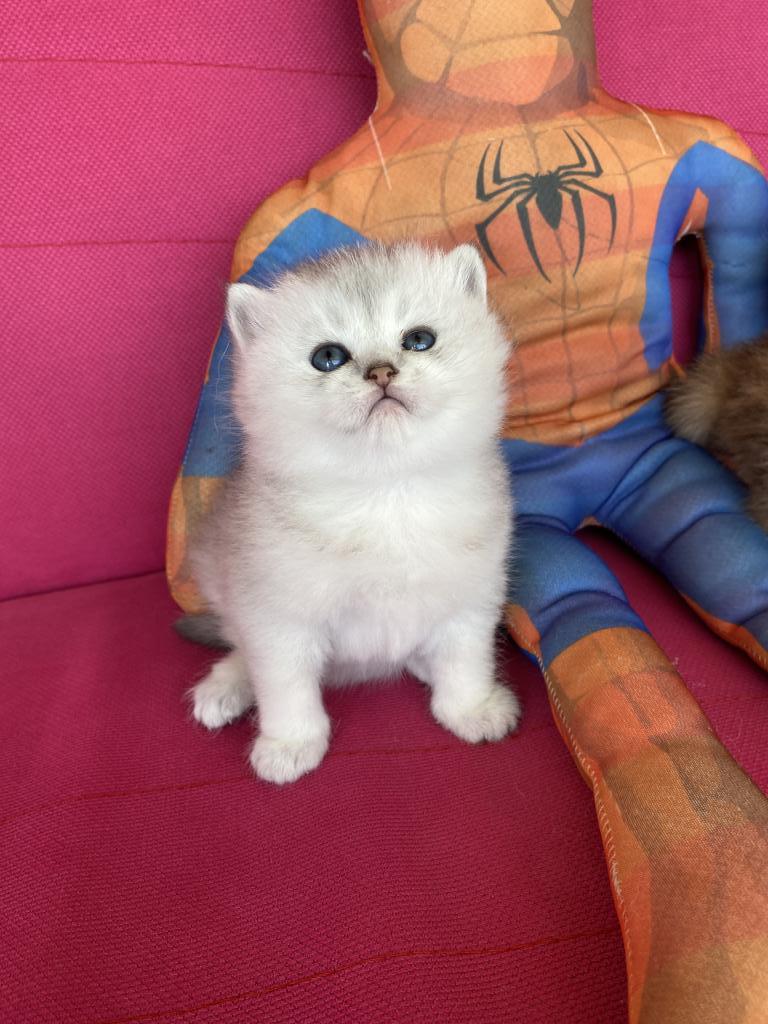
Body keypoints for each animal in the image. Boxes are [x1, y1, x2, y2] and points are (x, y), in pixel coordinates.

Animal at [179, 241, 520, 784]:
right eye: (328, 358)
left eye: (419, 340)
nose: (381, 371)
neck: (386, 491)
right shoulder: (277, 617)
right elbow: (285, 686)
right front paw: (290, 744)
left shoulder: (470, 599)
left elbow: (465, 661)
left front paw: (471, 709)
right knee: (239, 644)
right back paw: (226, 686)